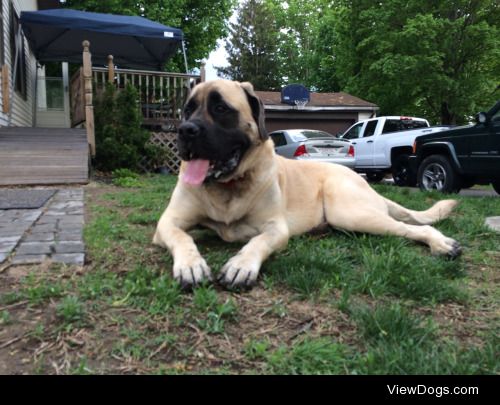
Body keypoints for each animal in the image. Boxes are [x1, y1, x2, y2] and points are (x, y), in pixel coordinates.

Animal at [154, 79, 462, 288]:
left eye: (220, 108)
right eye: (187, 110)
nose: (185, 131)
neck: (228, 186)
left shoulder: (275, 228)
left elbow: (257, 241)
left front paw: (241, 264)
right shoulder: (167, 223)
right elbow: (182, 237)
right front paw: (191, 264)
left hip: (350, 213)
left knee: (413, 228)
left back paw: (441, 244)